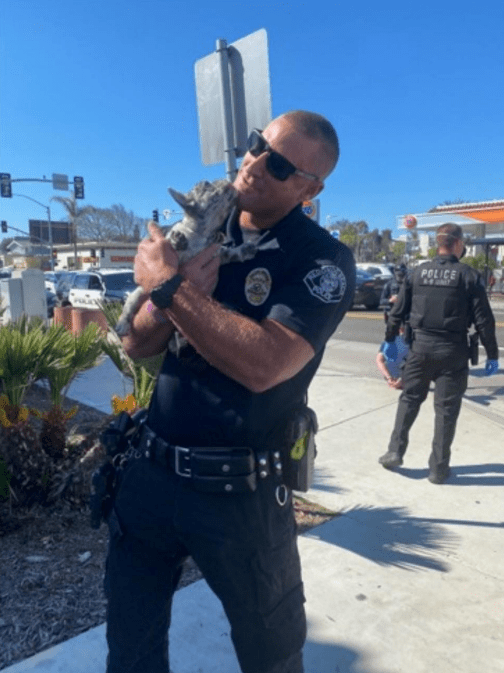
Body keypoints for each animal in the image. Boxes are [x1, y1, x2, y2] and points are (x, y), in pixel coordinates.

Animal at [114, 178, 280, 336]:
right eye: (207, 184)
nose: (228, 181)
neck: (202, 235)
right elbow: (171, 242)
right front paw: (177, 239)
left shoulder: (218, 254)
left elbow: (231, 253)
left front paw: (245, 249)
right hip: (140, 292)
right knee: (130, 302)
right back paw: (122, 324)